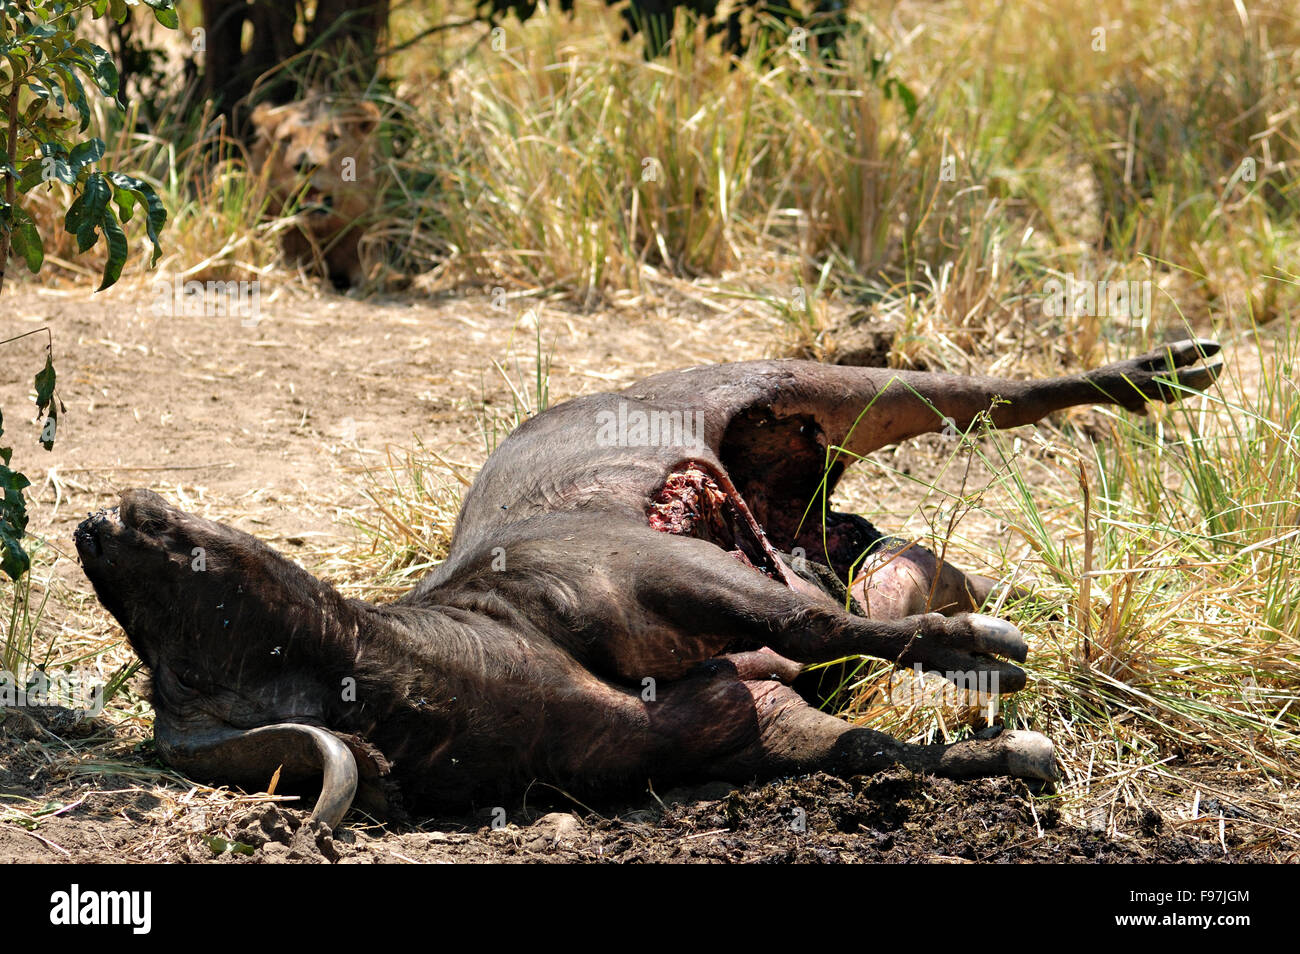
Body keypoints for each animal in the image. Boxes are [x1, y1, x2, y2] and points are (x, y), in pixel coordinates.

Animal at [248, 96, 379, 291]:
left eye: (332, 137)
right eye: (287, 139)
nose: (307, 164)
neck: (320, 232)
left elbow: (370, 266)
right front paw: (315, 282)